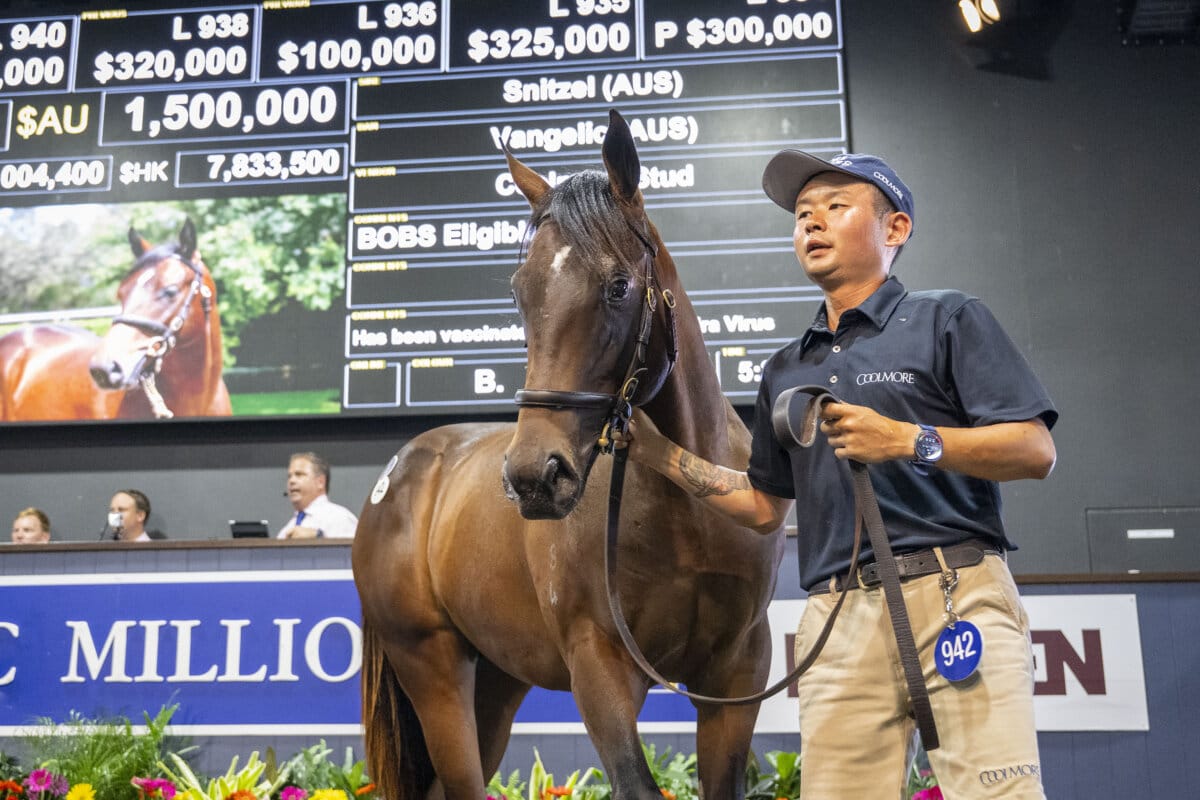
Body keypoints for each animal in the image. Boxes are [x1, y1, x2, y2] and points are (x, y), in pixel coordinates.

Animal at [353, 110, 785, 799]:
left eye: (618, 286)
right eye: (518, 293)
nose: (535, 476)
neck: (688, 515)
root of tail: (400, 471)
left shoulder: (737, 676)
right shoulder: (600, 668)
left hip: (499, 681)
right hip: (434, 669)